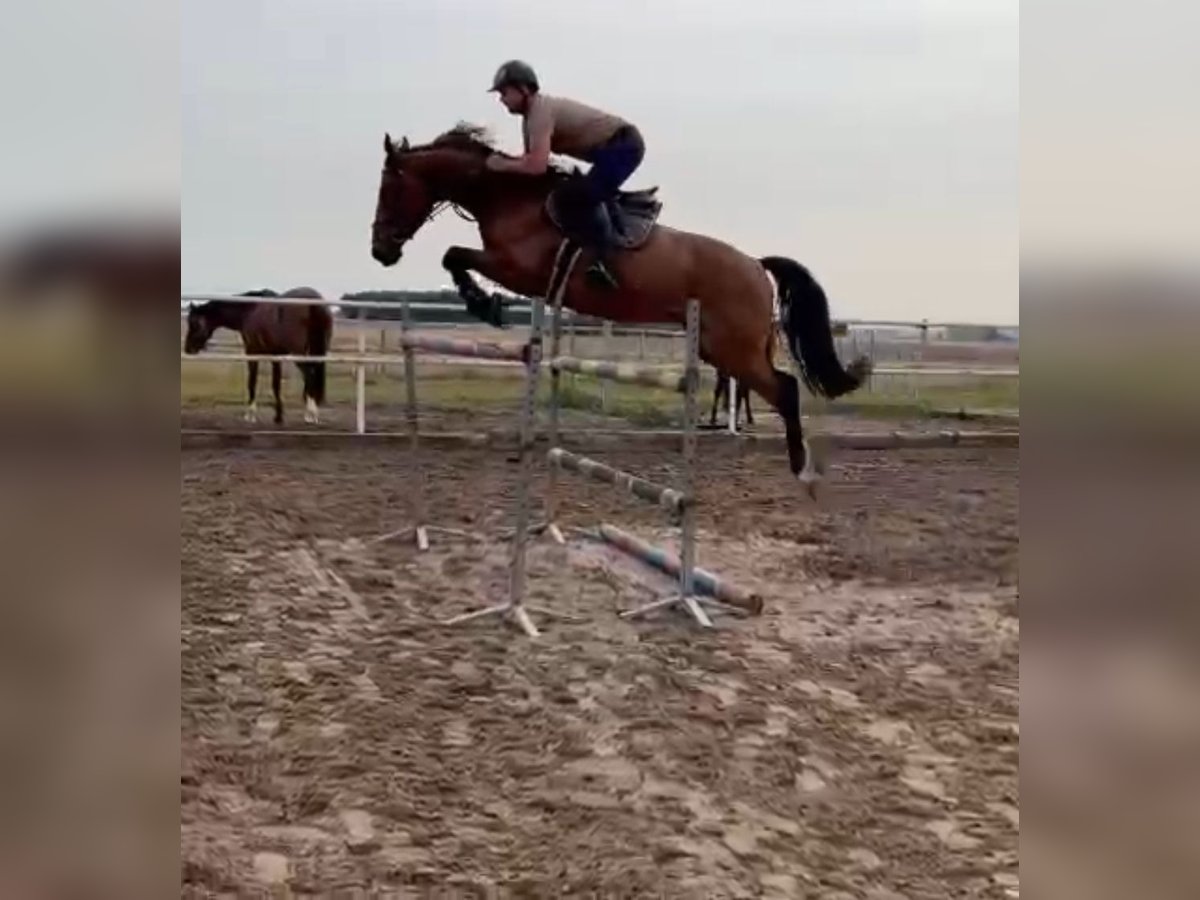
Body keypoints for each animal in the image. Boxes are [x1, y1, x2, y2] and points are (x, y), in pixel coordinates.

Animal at [182, 289, 333, 429]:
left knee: (309, 374)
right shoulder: (275, 356)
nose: (188, 349)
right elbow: (275, 385)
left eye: (194, 323)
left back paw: (311, 413)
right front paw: (278, 417)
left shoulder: (251, 352)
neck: (249, 310)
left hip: (299, 353)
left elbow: (252, 381)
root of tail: (314, 302)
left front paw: (251, 414)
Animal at [369, 124, 868, 489]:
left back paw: (802, 469)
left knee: (785, 388)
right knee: (775, 387)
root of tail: (755, 264)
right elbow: (453, 256)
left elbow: (453, 255)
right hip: (722, 348)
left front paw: (484, 304)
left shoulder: (516, 269)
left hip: (734, 349)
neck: (507, 196)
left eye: (389, 189)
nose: (380, 251)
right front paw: (481, 302)